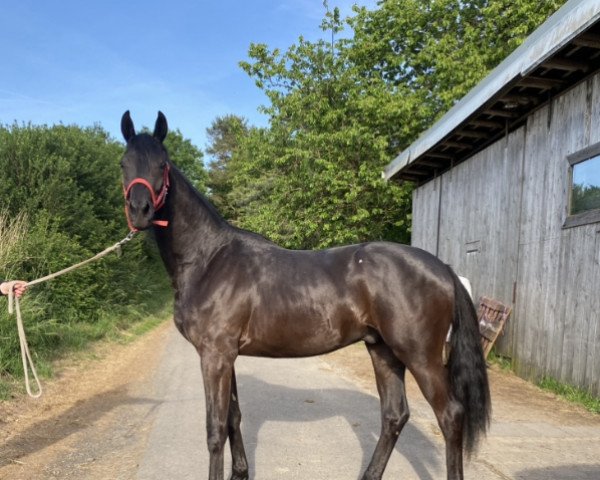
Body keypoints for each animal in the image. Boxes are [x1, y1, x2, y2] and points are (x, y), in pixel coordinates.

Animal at [119, 110, 490, 478]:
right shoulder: (226, 356)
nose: (140, 211)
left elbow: (215, 430)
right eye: (124, 163)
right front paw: (240, 472)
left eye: (162, 164)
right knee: (395, 415)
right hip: (383, 350)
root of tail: (443, 268)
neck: (209, 259)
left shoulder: (214, 356)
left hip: (420, 356)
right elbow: (233, 418)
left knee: (450, 416)